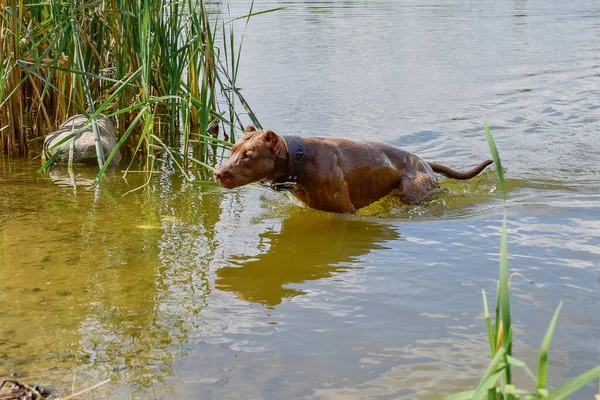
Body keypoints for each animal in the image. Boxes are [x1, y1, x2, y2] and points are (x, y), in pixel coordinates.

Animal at [214, 126, 492, 214]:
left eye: (248, 155)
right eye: (232, 149)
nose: (217, 173)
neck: (298, 160)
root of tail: (424, 161)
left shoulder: (346, 211)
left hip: (412, 188)